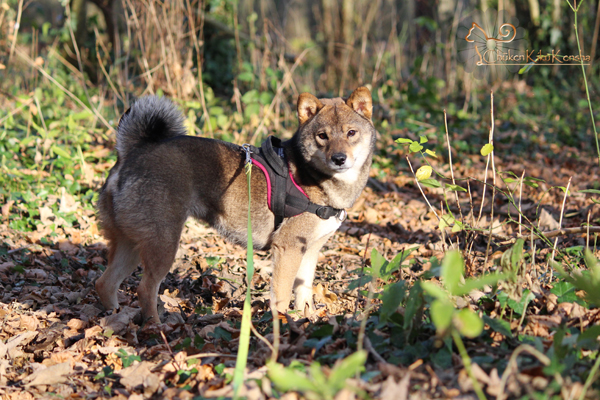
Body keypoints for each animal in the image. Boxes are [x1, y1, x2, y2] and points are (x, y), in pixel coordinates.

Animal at [95, 86, 376, 322]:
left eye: (351, 133)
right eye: (322, 136)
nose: (339, 158)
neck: (313, 177)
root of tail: (132, 152)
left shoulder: (310, 250)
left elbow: (303, 295)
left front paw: (306, 321)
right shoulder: (287, 249)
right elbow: (282, 297)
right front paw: (281, 325)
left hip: (131, 243)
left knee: (105, 283)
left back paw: (112, 316)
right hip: (162, 243)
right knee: (145, 289)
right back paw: (155, 326)